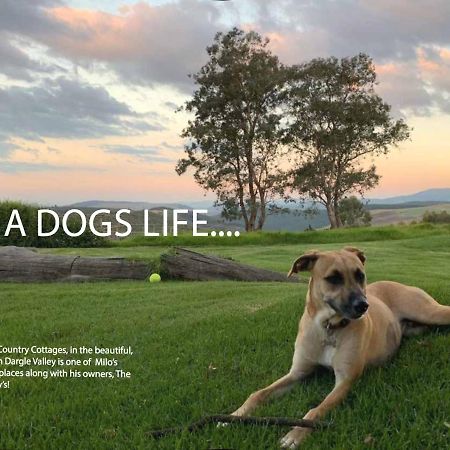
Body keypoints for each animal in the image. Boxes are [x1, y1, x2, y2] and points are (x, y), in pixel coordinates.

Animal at [230, 248, 450, 448]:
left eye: (360, 275)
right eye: (333, 278)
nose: (363, 305)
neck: (329, 328)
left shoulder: (345, 380)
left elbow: (316, 410)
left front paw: (295, 434)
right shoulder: (297, 373)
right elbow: (258, 393)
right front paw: (236, 415)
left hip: (429, 312)